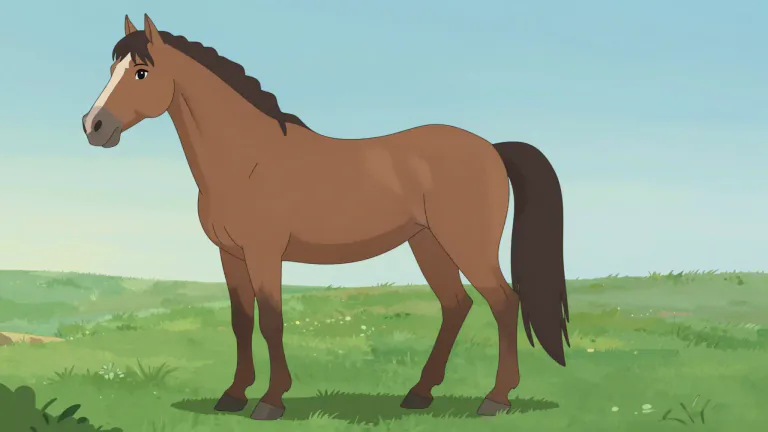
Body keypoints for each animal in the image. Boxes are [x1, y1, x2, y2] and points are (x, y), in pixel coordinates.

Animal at [81, 14, 570, 421]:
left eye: (141, 72)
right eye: (111, 70)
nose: (93, 126)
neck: (246, 160)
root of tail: (491, 148)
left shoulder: (264, 254)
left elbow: (271, 320)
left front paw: (270, 401)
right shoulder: (231, 255)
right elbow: (241, 322)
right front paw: (233, 395)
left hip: (466, 243)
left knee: (503, 303)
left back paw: (495, 399)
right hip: (426, 242)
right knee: (456, 305)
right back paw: (419, 394)